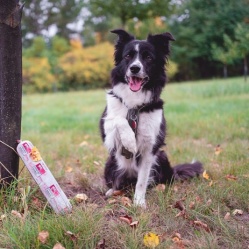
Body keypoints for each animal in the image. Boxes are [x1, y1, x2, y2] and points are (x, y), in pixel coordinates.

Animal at [99, 29, 202, 207]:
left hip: (162, 156)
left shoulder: (150, 147)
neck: (134, 105)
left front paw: (139, 203)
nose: (134, 68)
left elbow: (142, 181)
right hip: (111, 162)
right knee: (118, 182)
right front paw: (130, 141)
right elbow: (119, 120)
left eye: (148, 58)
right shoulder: (108, 133)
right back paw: (113, 191)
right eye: (128, 56)